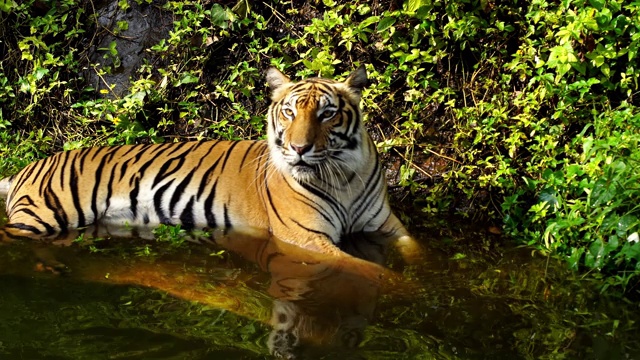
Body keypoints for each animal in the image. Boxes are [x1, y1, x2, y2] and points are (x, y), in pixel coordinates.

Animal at [0, 66, 420, 260]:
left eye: (327, 114)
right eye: (288, 112)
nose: (298, 148)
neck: (342, 175)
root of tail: (27, 167)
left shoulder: (386, 226)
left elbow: (417, 252)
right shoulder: (304, 237)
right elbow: (365, 270)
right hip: (43, 215)